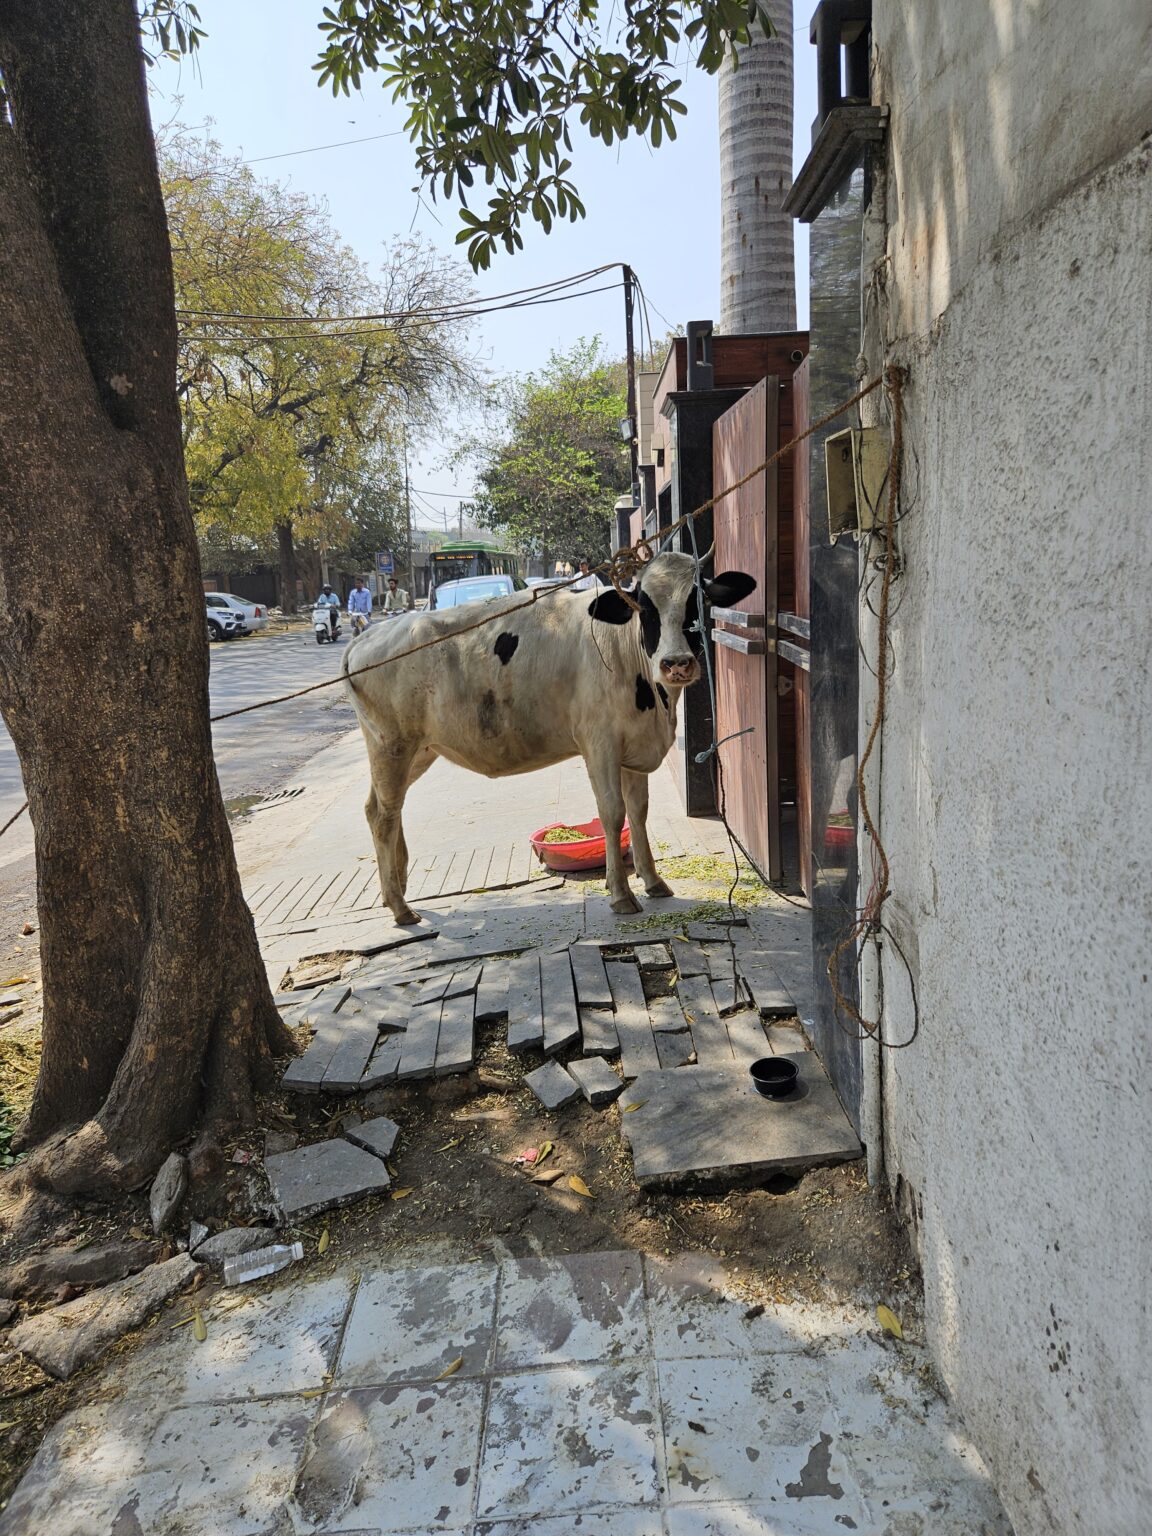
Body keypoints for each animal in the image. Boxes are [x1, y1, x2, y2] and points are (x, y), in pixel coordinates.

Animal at [342, 552, 756, 924]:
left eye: (699, 602)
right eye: (644, 607)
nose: (676, 664)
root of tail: (369, 635)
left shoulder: (634, 744)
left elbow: (638, 812)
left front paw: (653, 881)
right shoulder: (599, 743)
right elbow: (613, 812)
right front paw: (621, 894)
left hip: (418, 750)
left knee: (381, 807)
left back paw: (394, 890)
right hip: (392, 745)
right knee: (384, 814)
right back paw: (400, 908)